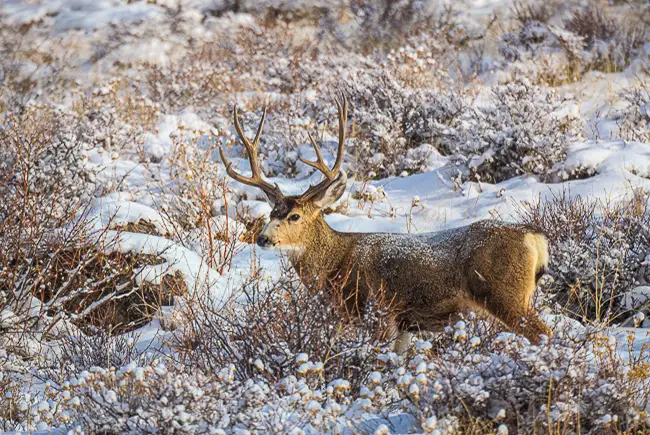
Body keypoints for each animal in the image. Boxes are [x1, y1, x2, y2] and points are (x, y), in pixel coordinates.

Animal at [219, 95, 552, 353]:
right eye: (270, 214)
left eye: (294, 216)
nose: (262, 239)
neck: (336, 264)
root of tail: (535, 238)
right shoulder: (404, 324)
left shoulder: (378, 313)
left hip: (504, 293)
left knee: (543, 333)